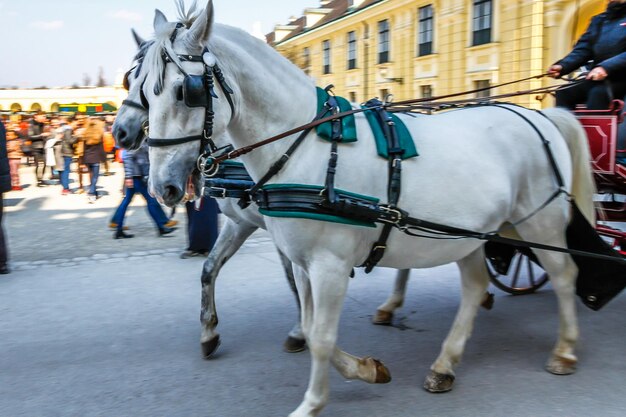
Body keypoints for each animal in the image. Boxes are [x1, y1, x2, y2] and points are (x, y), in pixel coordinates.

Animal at [139, 1, 592, 414]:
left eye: (186, 91)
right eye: (142, 91)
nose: (162, 186)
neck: (307, 147)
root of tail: (540, 116)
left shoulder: (330, 265)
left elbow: (322, 336)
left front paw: (312, 403)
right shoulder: (302, 262)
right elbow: (310, 326)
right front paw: (365, 369)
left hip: (540, 223)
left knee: (566, 274)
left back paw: (565, 350)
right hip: (465, 234)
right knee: (476, 285)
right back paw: (445, 363)